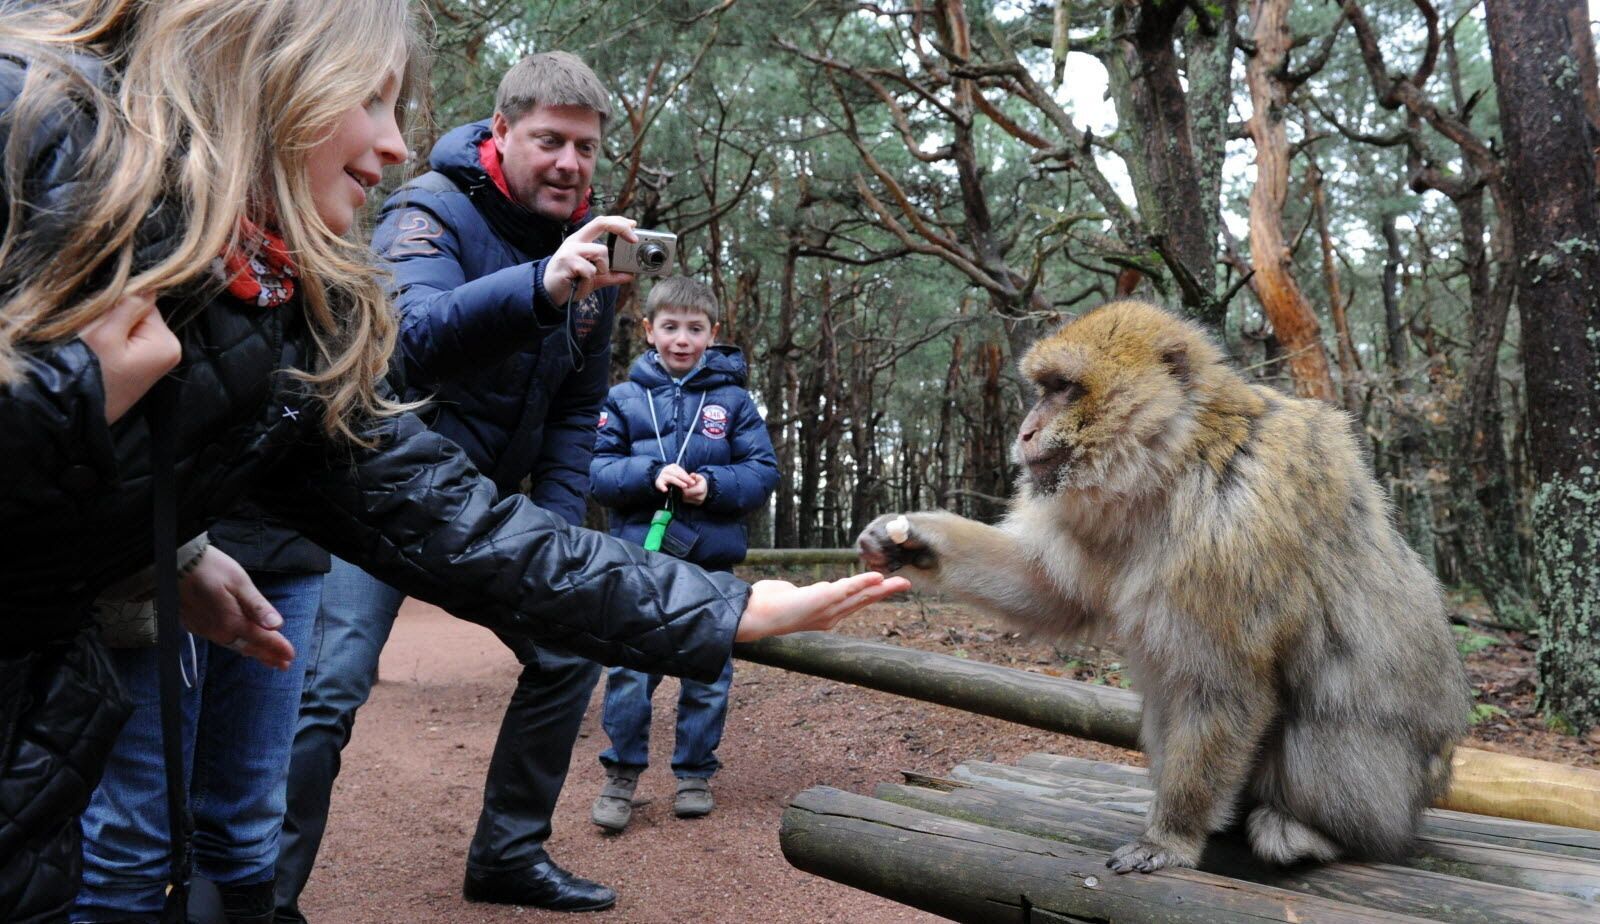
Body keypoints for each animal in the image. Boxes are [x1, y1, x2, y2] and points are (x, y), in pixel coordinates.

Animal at [858, 300, 1469, 874]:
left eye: (1064, 389)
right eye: (1044, 389)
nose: (1024, 431)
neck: (1174, 461)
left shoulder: (1232, 528)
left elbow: (1227, 686)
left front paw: (1171, 837)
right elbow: (1046, 589)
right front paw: (912, 541)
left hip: (1386, 793)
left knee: (1325, 713)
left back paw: (1313, 834)